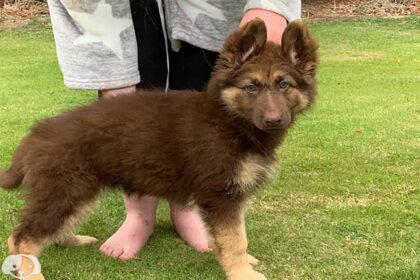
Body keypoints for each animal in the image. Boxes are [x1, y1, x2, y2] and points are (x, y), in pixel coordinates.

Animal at [0, 19, 318, 280]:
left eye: (284, 85)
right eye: (251, 87)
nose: (273, 120)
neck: (230, 119)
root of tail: (36, 134)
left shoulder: (232, 195)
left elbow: (230, 237)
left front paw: (235, 262)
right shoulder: (221, 195)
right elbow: (235, 239)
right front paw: (242, 273)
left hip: (77, 191)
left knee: (52, 228)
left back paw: (71, 241)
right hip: (64, 190)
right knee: (21, 238)